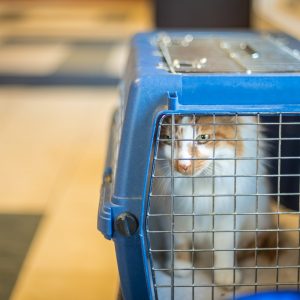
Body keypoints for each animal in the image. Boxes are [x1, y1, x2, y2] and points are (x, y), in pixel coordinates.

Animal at [149, 114, 274, 288]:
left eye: (203, 138)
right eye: (168, 139)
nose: (182, 166)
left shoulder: (228, 215)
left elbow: (224, 247)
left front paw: (226, 275)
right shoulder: (172, 214)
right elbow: (178, 242)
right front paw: (179, 268)